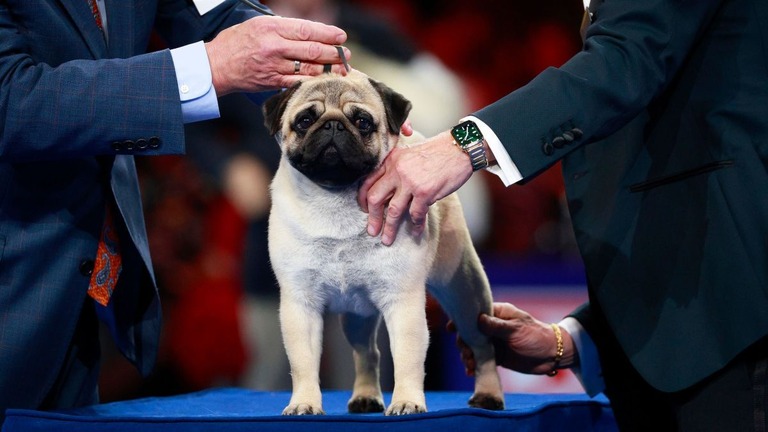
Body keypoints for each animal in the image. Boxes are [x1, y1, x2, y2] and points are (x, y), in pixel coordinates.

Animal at [264, 70, 504, 416]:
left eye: (362, 122)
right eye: (305, 120)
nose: (332, 125)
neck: (335, 199)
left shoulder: (403, 303)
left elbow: (407, 359)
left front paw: (406, 401)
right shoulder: (301, 305)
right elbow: (303, 363)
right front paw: (304, 403)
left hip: (465, 295)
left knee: (483, 346)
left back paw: (488, 395)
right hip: (358, 316)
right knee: (368, 353)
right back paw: (366, 397)